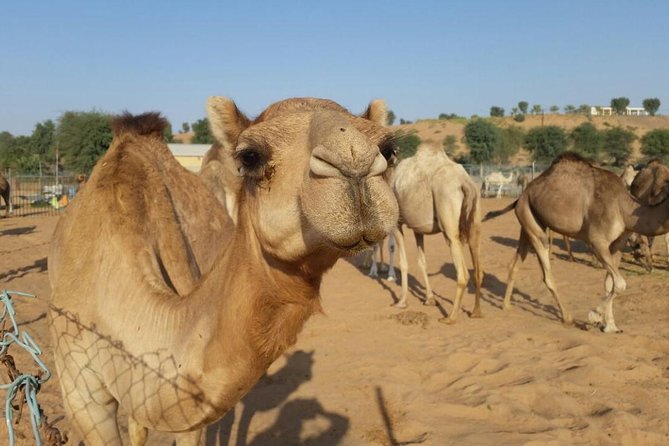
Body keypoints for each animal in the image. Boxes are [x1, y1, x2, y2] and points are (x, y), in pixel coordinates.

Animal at [391, 144, 483, 323]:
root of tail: (465, 182)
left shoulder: (396, 223)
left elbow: (404, 263)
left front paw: (401, 301)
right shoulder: (418, 228)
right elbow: (422, 262)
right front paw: (430, 299)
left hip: (448, 219)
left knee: (462, 273)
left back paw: (450, 317)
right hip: (475, 222)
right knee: (478, 269)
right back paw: (476, 312)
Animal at [484, 152, 669, 333]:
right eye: (642, 250)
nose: (650, 267)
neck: (624, 208)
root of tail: (520, 197)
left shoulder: (618, 244)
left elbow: (610, 283)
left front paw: (610, 325)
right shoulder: (597, 241)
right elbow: (620, 283)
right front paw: (594, 317)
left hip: (528, 221)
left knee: (515, 263)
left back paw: (506, 305)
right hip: (532, 222)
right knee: (546, 273)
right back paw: (567, 318)